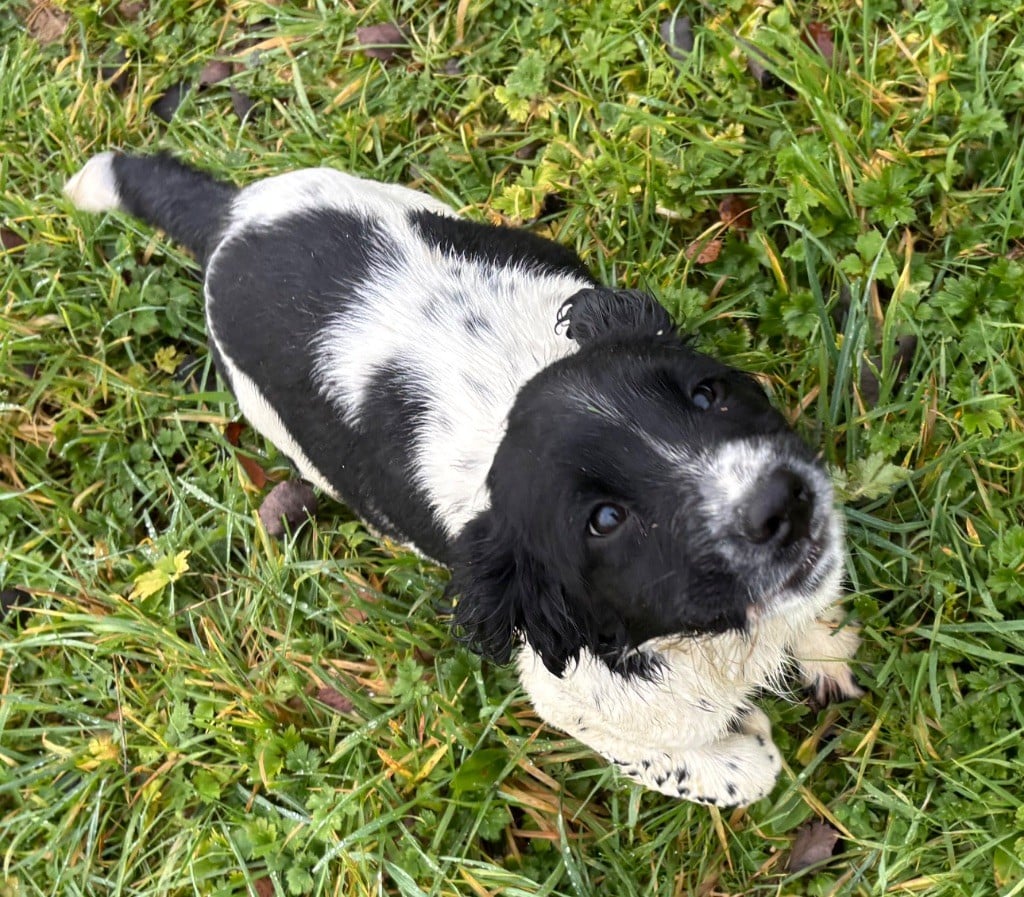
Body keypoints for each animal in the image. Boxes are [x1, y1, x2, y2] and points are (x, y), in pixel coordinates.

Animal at [64, 151, 861, 805]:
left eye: (707, 395)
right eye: (604, 520)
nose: (781, 504)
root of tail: (229, 220)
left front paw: (824, 645)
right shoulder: (571, 696)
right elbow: (714, 764)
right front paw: (742, 747)